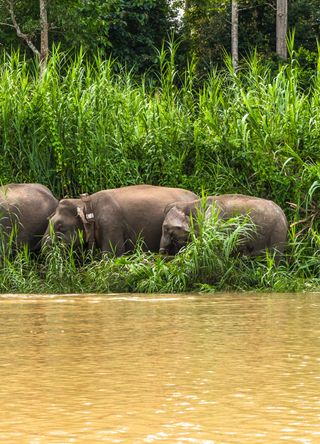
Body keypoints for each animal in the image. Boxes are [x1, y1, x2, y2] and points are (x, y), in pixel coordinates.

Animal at [159, 193, 288, 258]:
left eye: (166, 228)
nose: (162, 252)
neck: (189, 205)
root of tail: (284, 214)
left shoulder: (215, 215)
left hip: (278, 232)